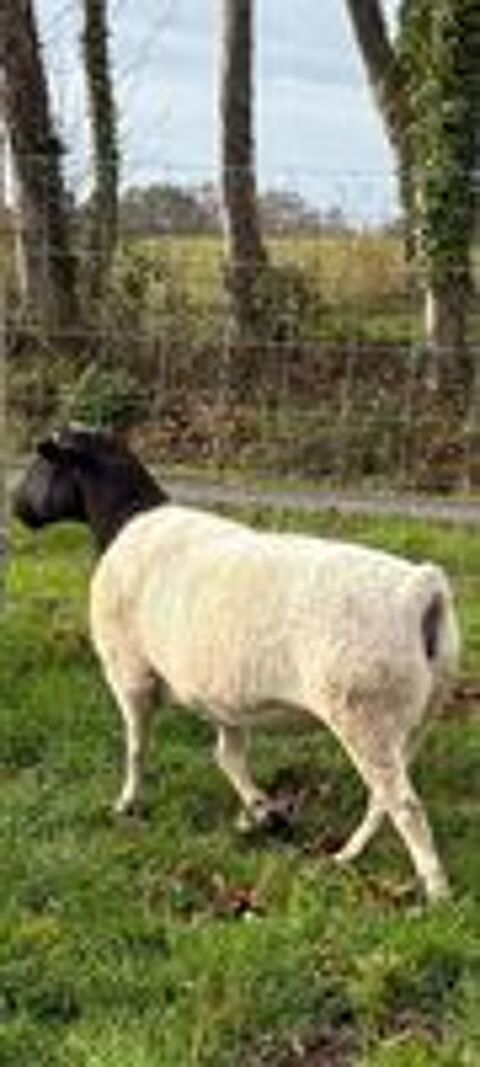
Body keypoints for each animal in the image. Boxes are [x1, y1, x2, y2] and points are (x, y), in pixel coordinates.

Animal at [14, 426, 460, 901]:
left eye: (41, 463)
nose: (17, 507)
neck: (124, 520)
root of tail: (421, 589)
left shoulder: (129, 671)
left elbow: (137, 747)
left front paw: (126, 804)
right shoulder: (221, 694)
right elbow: (228, 756)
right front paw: (263, 812)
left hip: (363, 711)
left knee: (404, 805)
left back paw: (436, 893)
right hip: (415, 716)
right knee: (382, 799)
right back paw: (347, 855)